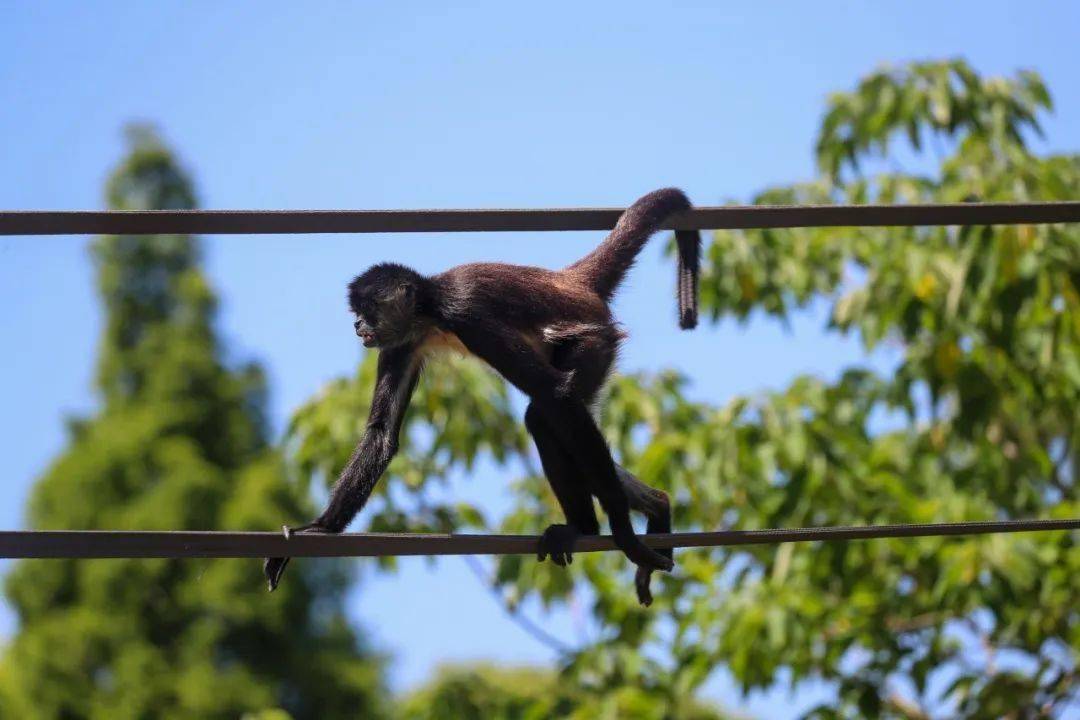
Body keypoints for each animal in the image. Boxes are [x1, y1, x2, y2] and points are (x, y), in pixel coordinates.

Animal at [263, 188, 699, 604]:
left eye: (368, 308)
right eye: (357, 312)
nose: (357, 326)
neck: (432, 308)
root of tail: (570, 282)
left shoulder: (464, 314)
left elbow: (555, 393)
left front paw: (623, 533)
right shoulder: (402, 342)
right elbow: (382, 434)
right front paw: (319, 529)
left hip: (593, 343)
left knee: (547, 412)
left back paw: (586, 528)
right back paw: (658, 505)